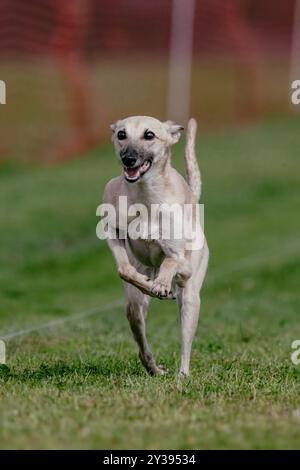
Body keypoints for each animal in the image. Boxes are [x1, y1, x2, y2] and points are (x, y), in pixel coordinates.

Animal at [103, 117, 209, 378]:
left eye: (149, 135)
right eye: (121, 134)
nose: (128, 159)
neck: (145, 197)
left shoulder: (179, 257)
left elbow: (172, 261)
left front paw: (161, 285)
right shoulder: (112, 230)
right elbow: (124, 269)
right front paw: (152, 286)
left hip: (190, 299)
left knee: (185, 343)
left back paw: (182, 376)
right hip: (134, 307)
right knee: (139, 333)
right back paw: (154, 368)